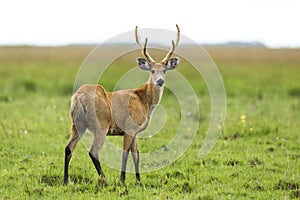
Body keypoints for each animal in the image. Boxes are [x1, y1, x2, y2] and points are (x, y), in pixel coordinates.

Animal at [63, 24, 180, 185]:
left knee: (68, 148)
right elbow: (125, 153)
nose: (160, 81)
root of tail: (78, 97)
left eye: (164, 71)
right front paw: (123, 180)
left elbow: (136, 154)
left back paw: (65, 181)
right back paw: (104, 179)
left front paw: (138, 180)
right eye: (152, 70)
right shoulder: (129, 127)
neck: (144, 101)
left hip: (76, 123)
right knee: (93, 152)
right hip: (101, 124)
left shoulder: (136, 131)